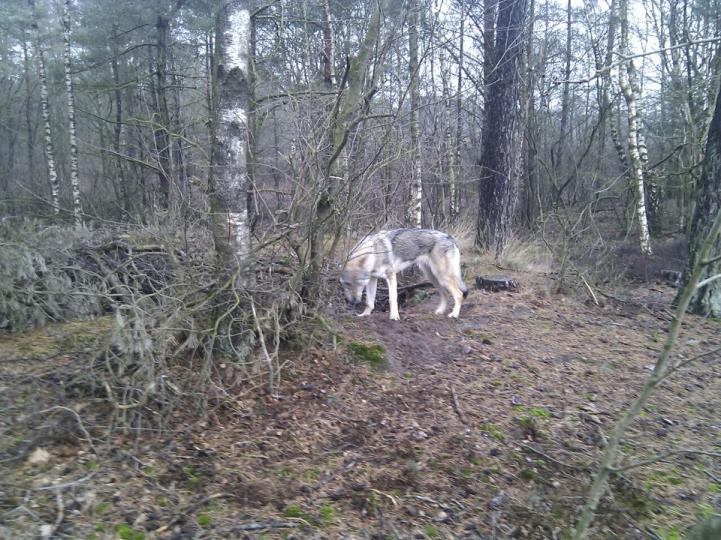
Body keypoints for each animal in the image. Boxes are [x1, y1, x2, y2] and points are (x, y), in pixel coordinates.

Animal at [340, 229, 470, 320]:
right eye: (347, 284)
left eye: (358, 284)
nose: (354, 302)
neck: (375, 252)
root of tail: (450, 237)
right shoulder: (372, 279)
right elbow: (369, 301)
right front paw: (364, 314)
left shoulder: (391, 276)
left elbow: (392, 298)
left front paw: (394, 316)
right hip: (433, 277)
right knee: (445, 294)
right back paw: (440, 311)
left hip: (442, 277)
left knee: (459, 294)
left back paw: (454, 314)